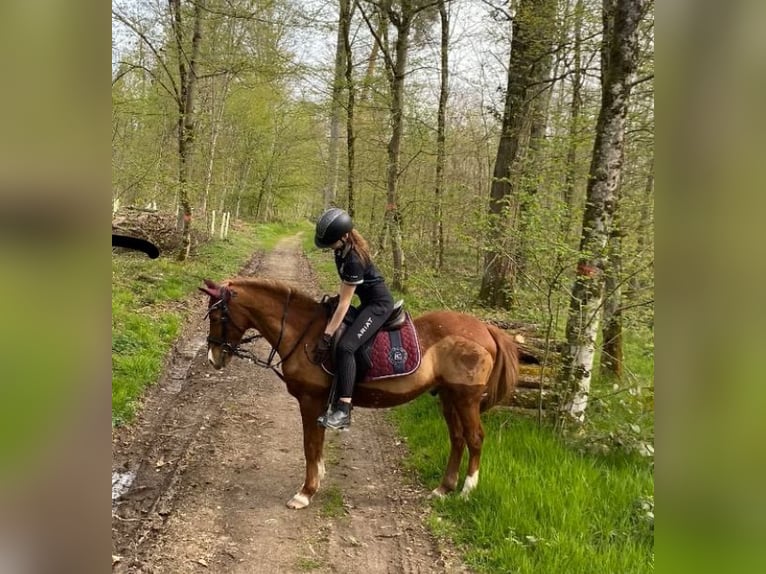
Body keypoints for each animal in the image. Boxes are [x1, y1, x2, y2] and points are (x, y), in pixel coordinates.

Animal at [200, 278, 520, 508]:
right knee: (457, 438)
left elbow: (310, 445)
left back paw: (466, 491)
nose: (213, 357)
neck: (303, 333)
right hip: (448, 396)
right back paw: (443, 489)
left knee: (475, 438)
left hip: (466, 398)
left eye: (217, 315)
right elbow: (317, 444)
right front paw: (318, 479)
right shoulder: (319, 403)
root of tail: (487, 329)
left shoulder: (310, 401)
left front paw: (306, 492)